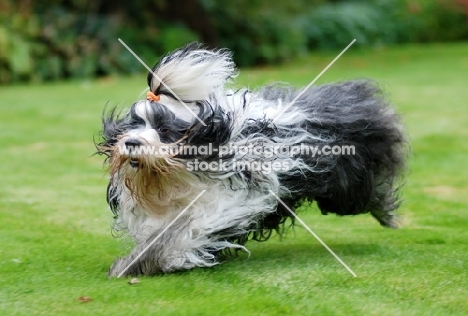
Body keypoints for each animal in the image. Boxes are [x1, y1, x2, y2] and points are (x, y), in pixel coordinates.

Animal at [97, 42, 408, 276]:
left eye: (163, 129)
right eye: (134, 125)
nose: (132, 143)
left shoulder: (224, 204)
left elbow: (181, 235)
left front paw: (142, 263)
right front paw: (133, 264)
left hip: (349, 186)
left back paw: (388, 215)